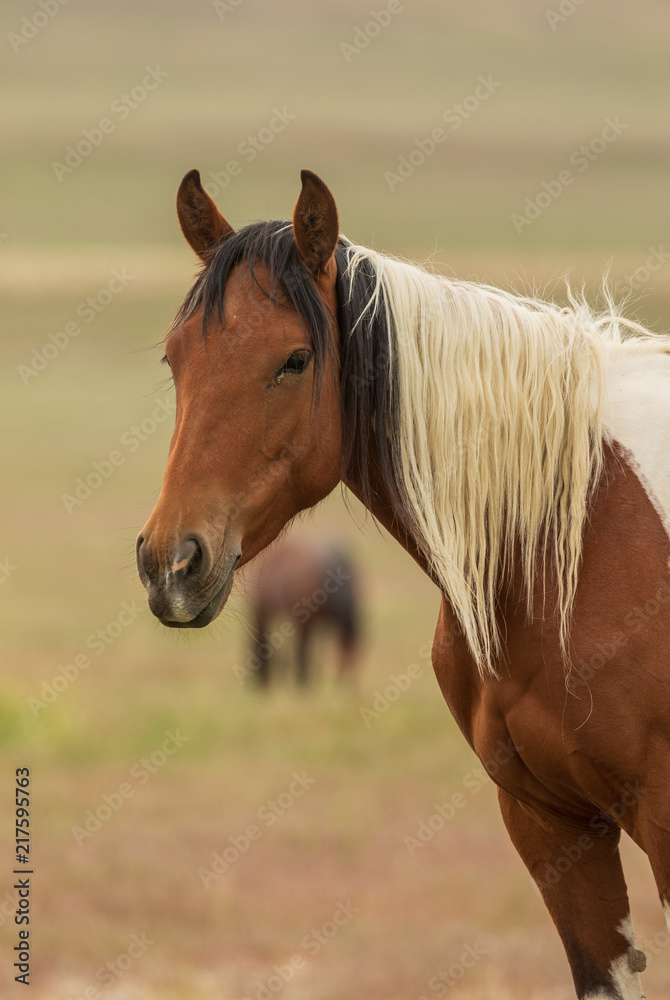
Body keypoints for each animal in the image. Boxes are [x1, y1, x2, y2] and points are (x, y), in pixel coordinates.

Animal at [242, 535, 360, 686]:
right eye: (348, 656)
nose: (347, 684)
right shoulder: (306, 621)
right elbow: (304, 651)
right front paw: (303, 680)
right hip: (266, 614)